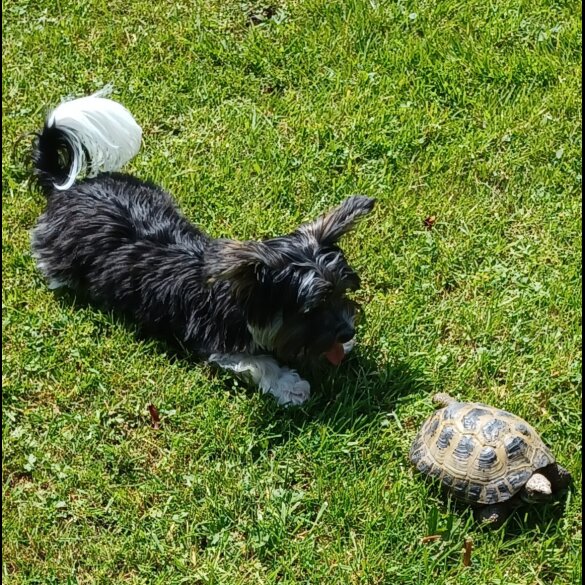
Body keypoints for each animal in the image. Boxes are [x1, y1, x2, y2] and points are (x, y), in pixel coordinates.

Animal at [29, 89, 374, 404]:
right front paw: (290, 384)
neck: (244, 297)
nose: (348, 331)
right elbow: (261, 364)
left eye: (341, 293)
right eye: (311, 310)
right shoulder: (217, 342)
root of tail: (67, 189)